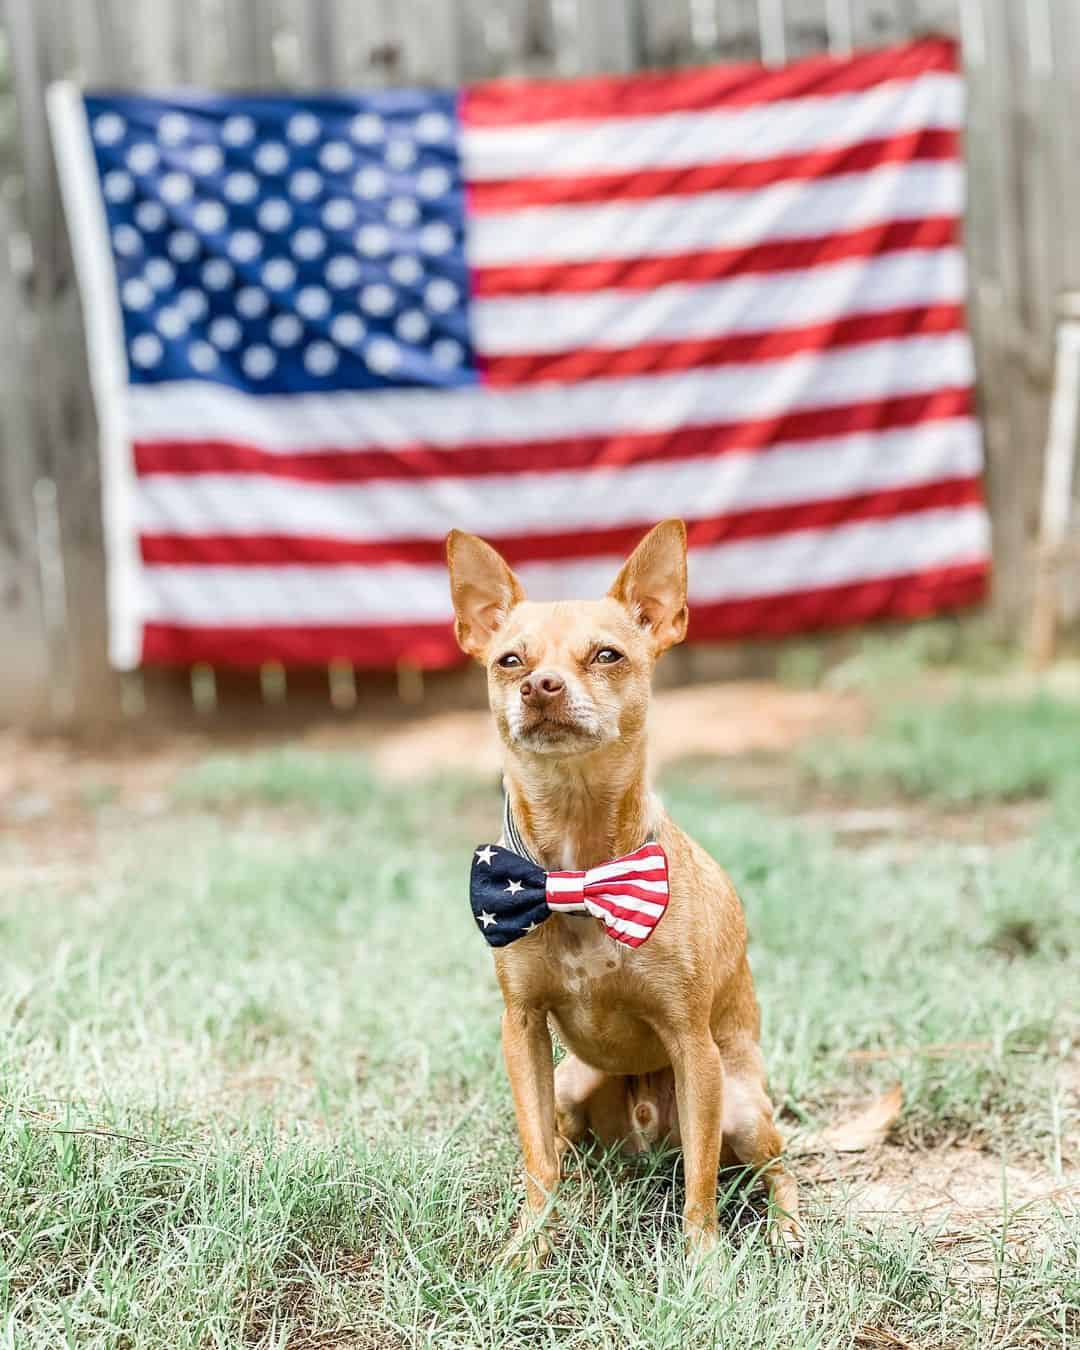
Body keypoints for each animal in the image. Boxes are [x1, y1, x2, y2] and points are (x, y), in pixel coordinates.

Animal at [448, 518, 799, 1263]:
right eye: (509, 661)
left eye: (606, 655)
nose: (541, 686)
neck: (580, 867)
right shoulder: (522, 1030)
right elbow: (537, 1159)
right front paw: (530, 1249)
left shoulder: (693, 1045)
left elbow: (701, 1182)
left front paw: (703, 1265)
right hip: (571, 1082)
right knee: (565, 1147)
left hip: (741, 1104)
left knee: (775, 1165)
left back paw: (787, 1228)